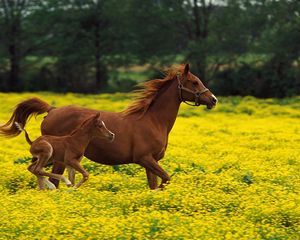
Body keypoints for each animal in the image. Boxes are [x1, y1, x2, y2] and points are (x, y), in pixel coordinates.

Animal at [0, 63, 216, 189]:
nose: (213, 100)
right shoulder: (145, 158)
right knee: (50, 178)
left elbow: (155, 185)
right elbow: (166, 179)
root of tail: (52, 110)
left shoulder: (151, 161)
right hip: (58, 159)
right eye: (194, 82)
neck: (153, 121)